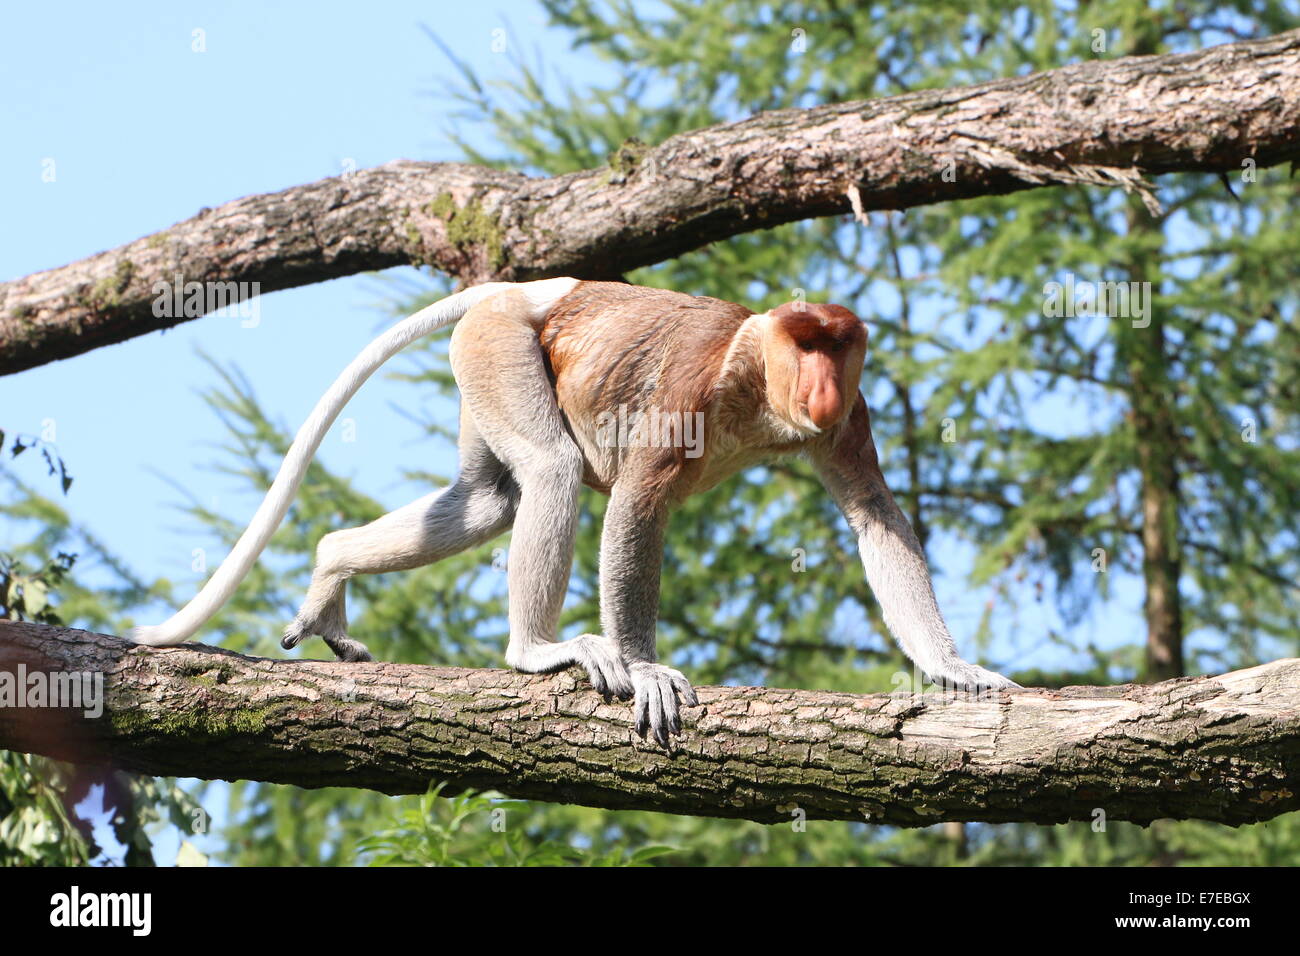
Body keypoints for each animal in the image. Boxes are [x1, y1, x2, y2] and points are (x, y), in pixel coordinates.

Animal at [133, 278, 1017, 745]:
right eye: (806, 346)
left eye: (838, 348)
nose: (822, 383)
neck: (758, 380)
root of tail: (526, 286)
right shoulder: (692, 387)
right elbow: (637, 503)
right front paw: (646, 668)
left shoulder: (848, 419)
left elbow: (872, 514)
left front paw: (952, 667)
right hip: (497, 346)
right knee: (550, 475)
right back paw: (538, 651)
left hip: (484, 365)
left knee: (488, 501)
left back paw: (330, 563)